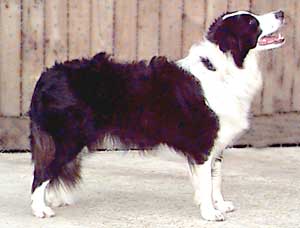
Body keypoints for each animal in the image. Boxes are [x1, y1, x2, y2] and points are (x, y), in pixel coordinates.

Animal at [29, 9, 284, 220]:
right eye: (252, 22)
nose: (281, 12)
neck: (223, 67)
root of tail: (47, 75)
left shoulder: (217, 144)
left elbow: (216, 179)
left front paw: (218, 204)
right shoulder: (203, 144)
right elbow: (206, 182)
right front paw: (210, 213)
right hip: (68, 139)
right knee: (41, 173)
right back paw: (40, 208)